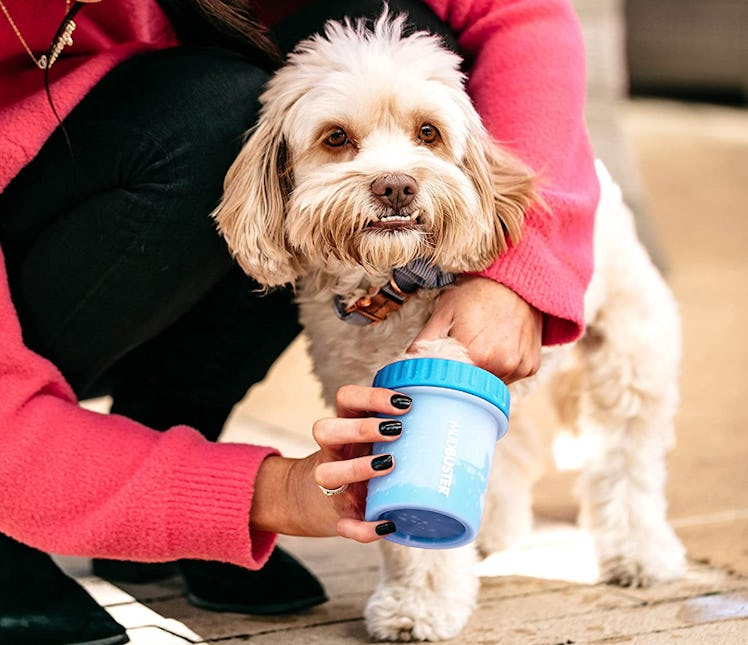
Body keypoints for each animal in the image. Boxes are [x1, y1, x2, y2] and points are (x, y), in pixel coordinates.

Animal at [213, 12, 688, 640]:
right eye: (336, 138)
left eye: (428, 132)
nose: (395, 186)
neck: (392, 287)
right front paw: (415, 599)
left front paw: (421, 606)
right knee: (515, 455)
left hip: (630, 356)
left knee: (628, 462)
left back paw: (641, 555)